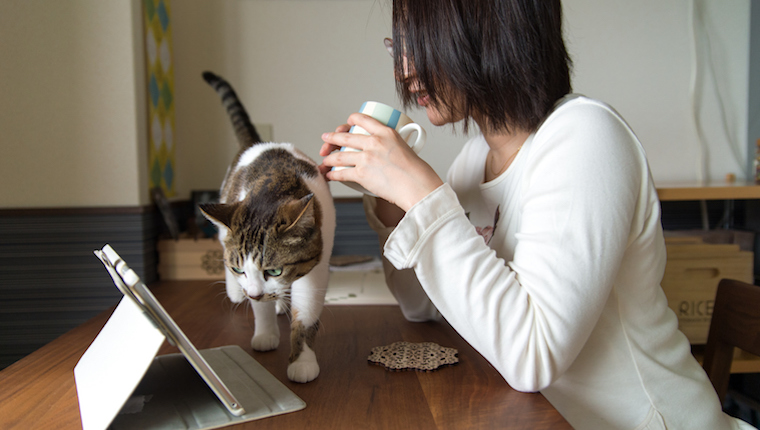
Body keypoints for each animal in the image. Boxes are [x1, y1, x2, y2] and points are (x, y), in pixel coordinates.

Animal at [200, 71, 334, 382]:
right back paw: (238, 293)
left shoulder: (317, 265)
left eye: (274, 271)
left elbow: (306, 313)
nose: (253, 292)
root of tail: (258, 143)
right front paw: (265, 333)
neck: (274, 188)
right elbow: (259, 308)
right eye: (240, 268)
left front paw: (302, 360)